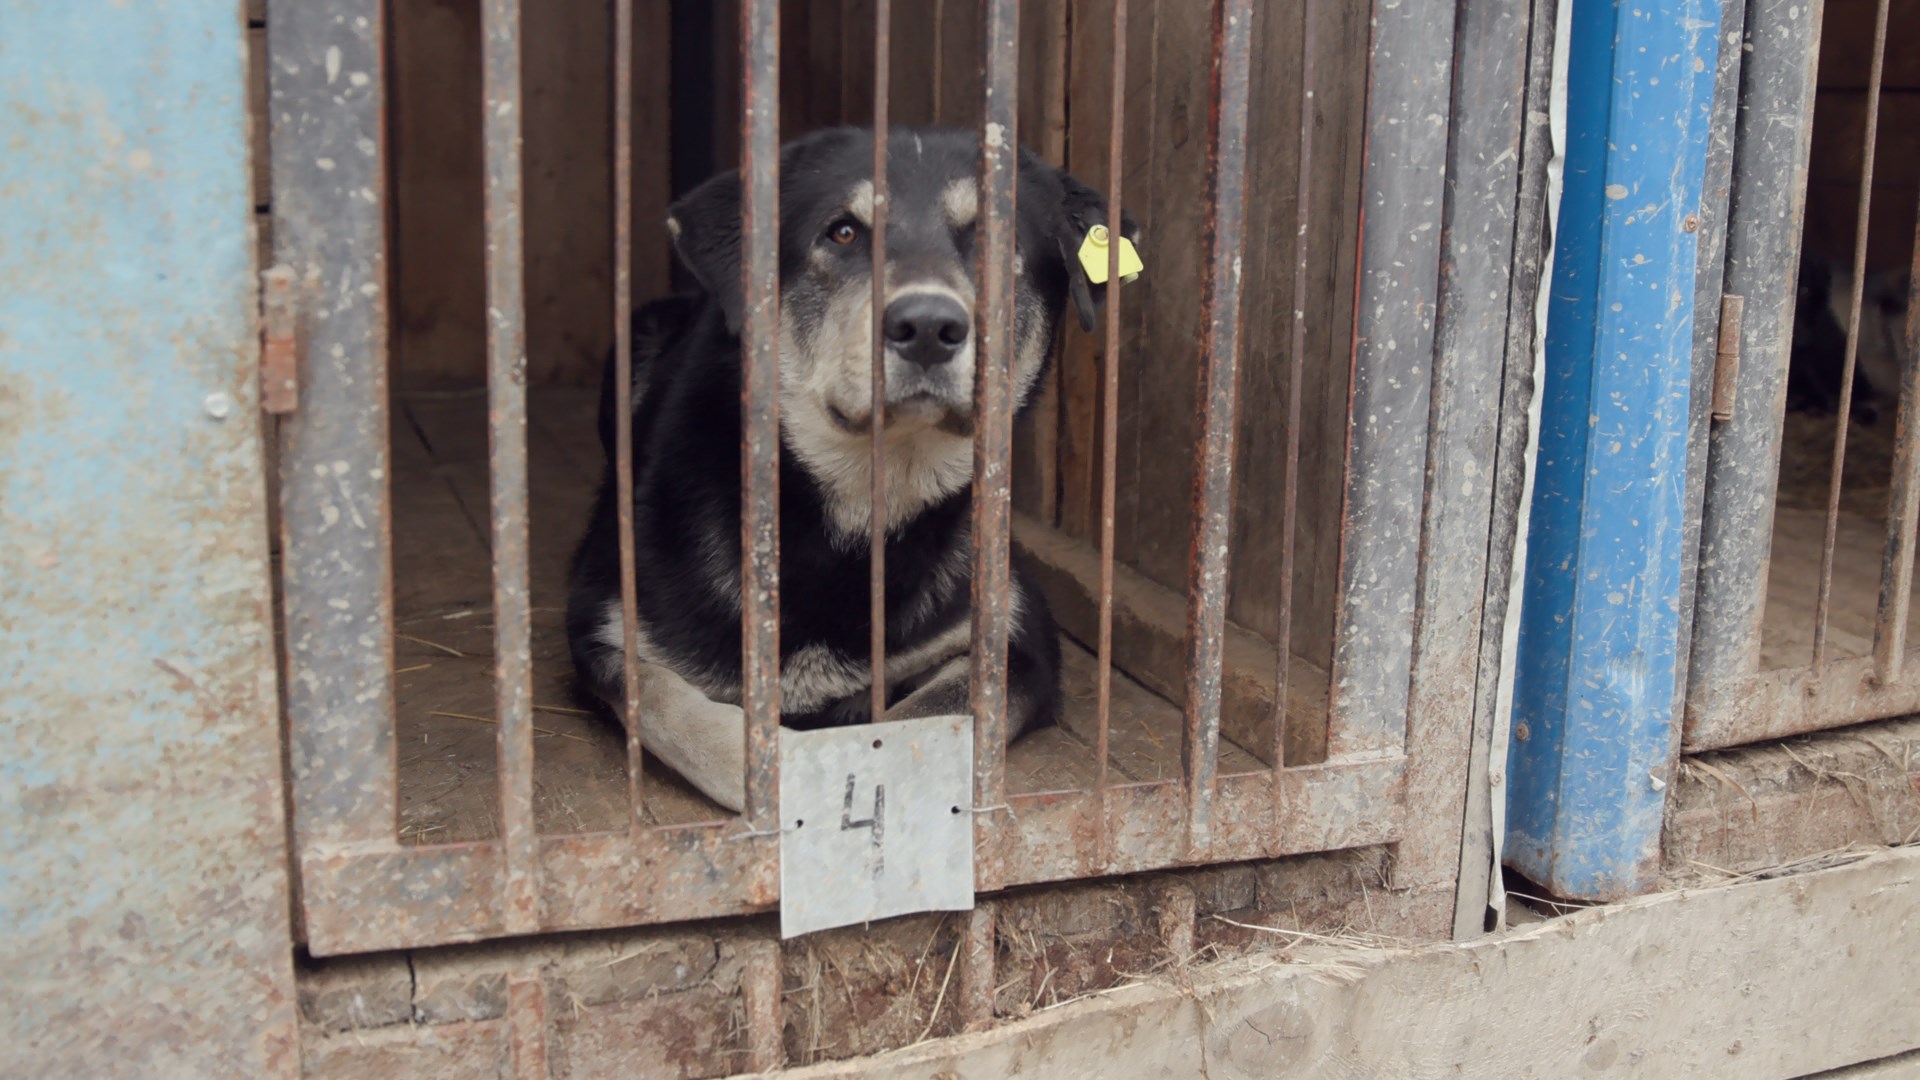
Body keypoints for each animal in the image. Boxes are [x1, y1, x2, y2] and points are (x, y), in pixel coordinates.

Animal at [566, 126, 1143, 813]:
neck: (858, 513)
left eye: (997, 240)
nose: (928, 327)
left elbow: (918, 724)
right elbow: (671, 705)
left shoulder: (1017, 640)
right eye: (842, 233)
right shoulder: (602, 627)